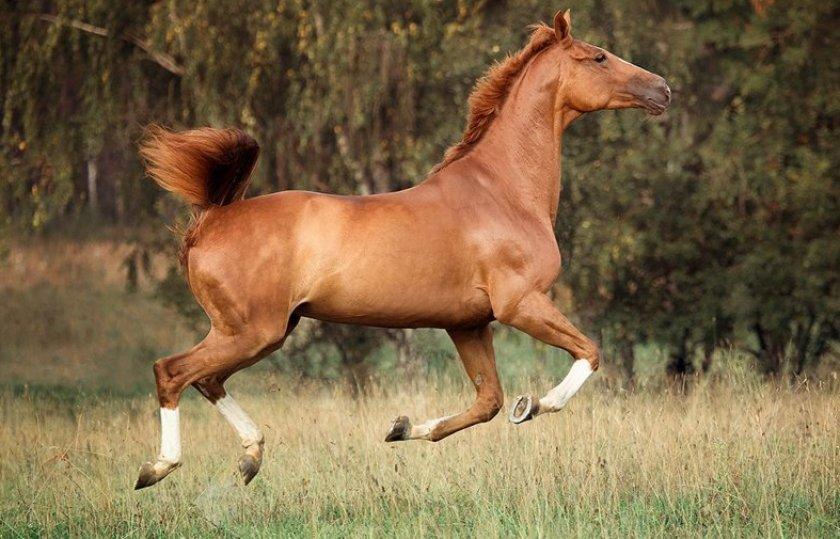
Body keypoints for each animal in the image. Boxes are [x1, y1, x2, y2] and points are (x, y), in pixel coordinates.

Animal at [134, 9, 670, 489]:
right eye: (598, 57)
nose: (663, 89)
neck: (504, 191)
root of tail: (211, 220)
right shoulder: (520, 304)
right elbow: (589, 352)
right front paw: (534, 406)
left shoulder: (468, 323)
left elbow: (488, 403)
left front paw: (402, 427)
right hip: (251, 331)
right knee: (172, 372)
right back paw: (158, 468)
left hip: (262, 332)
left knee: (206, 380)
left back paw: (250, 457)